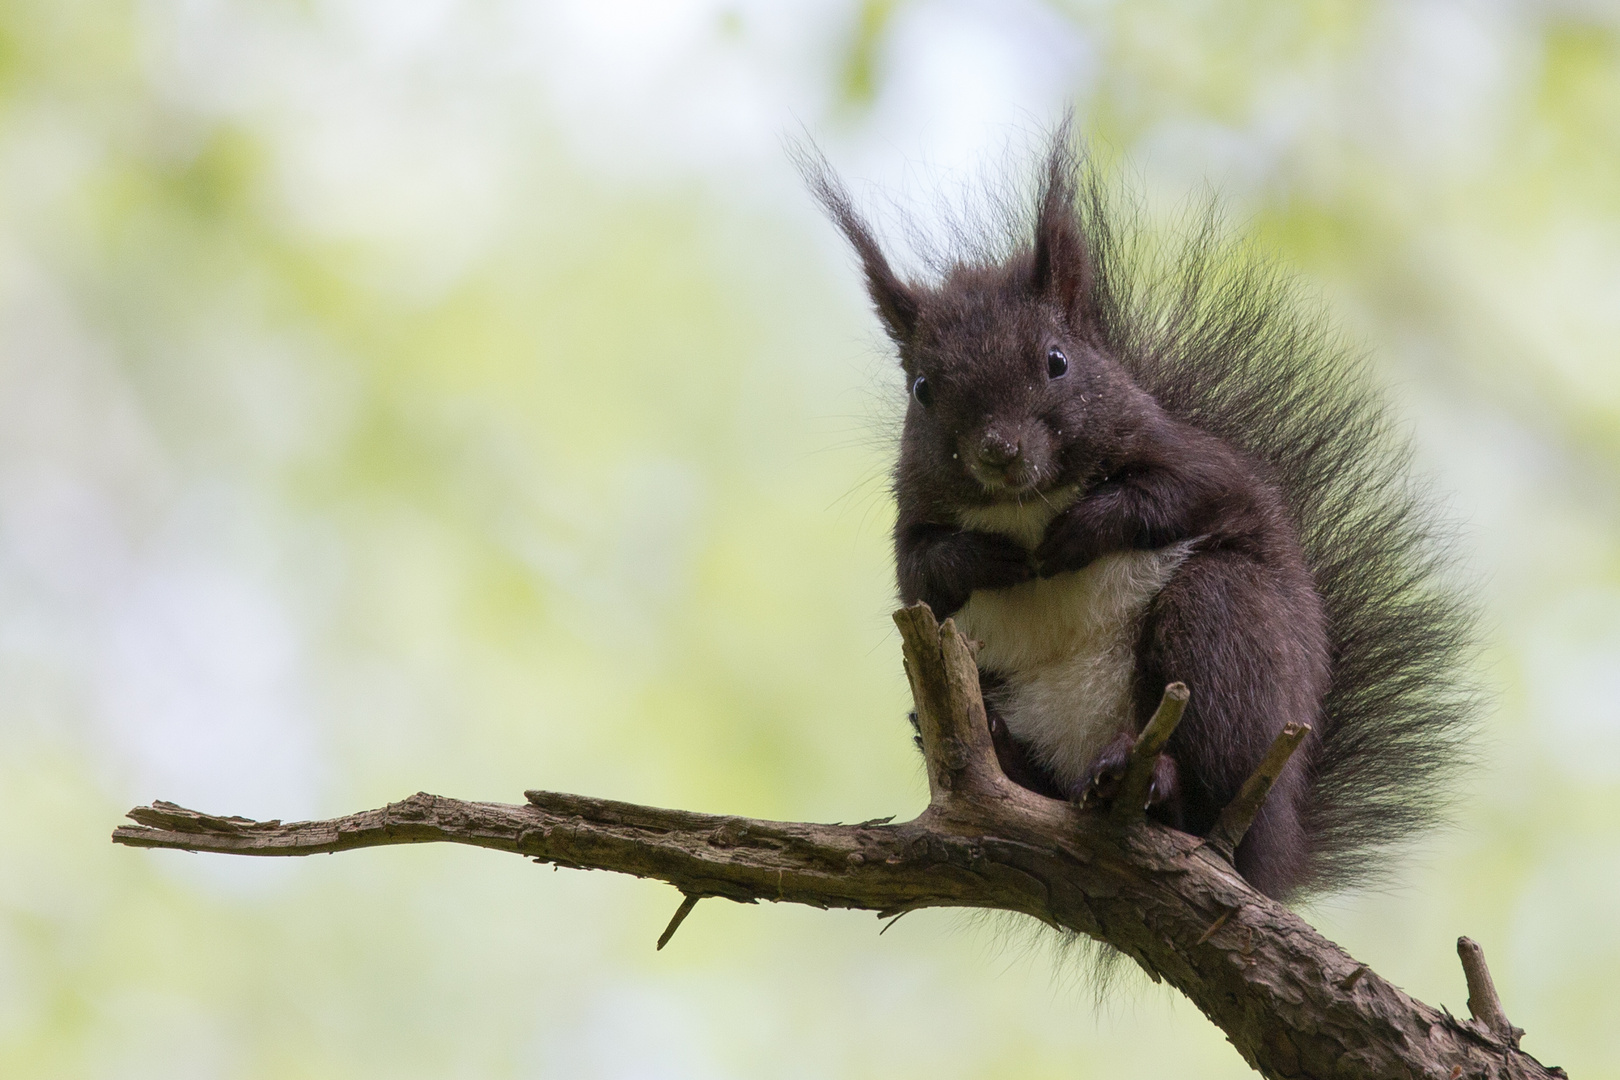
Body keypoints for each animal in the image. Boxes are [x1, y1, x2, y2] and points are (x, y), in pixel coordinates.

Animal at [803, 128, 1477, 906]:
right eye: (920, 389)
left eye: (1057, 361)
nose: (1000, 451)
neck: (1028, 507)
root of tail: (1277, 858)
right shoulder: (911, 520)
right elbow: (921, 568)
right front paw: (991, 559)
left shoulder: (1200, 463)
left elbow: (1174, 496)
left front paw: (1078, 533)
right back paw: (1006, 753)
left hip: (1223, 643)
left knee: (1208, 774)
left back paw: (1156, 783)